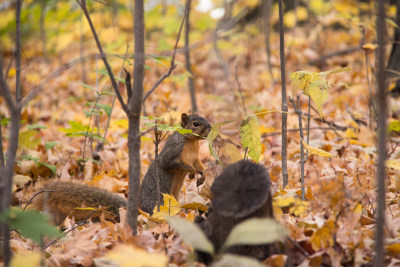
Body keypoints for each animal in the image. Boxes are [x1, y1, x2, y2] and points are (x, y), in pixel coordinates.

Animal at [31, 113, 211, 224]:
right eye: (195, 124)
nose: (210, 128)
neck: (191, 142)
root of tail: (141, 211)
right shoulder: (173, 152)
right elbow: (175, 164)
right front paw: (191, 172)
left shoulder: (195, 156)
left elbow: (200, 164)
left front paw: (202, 175)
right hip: (159, 202)